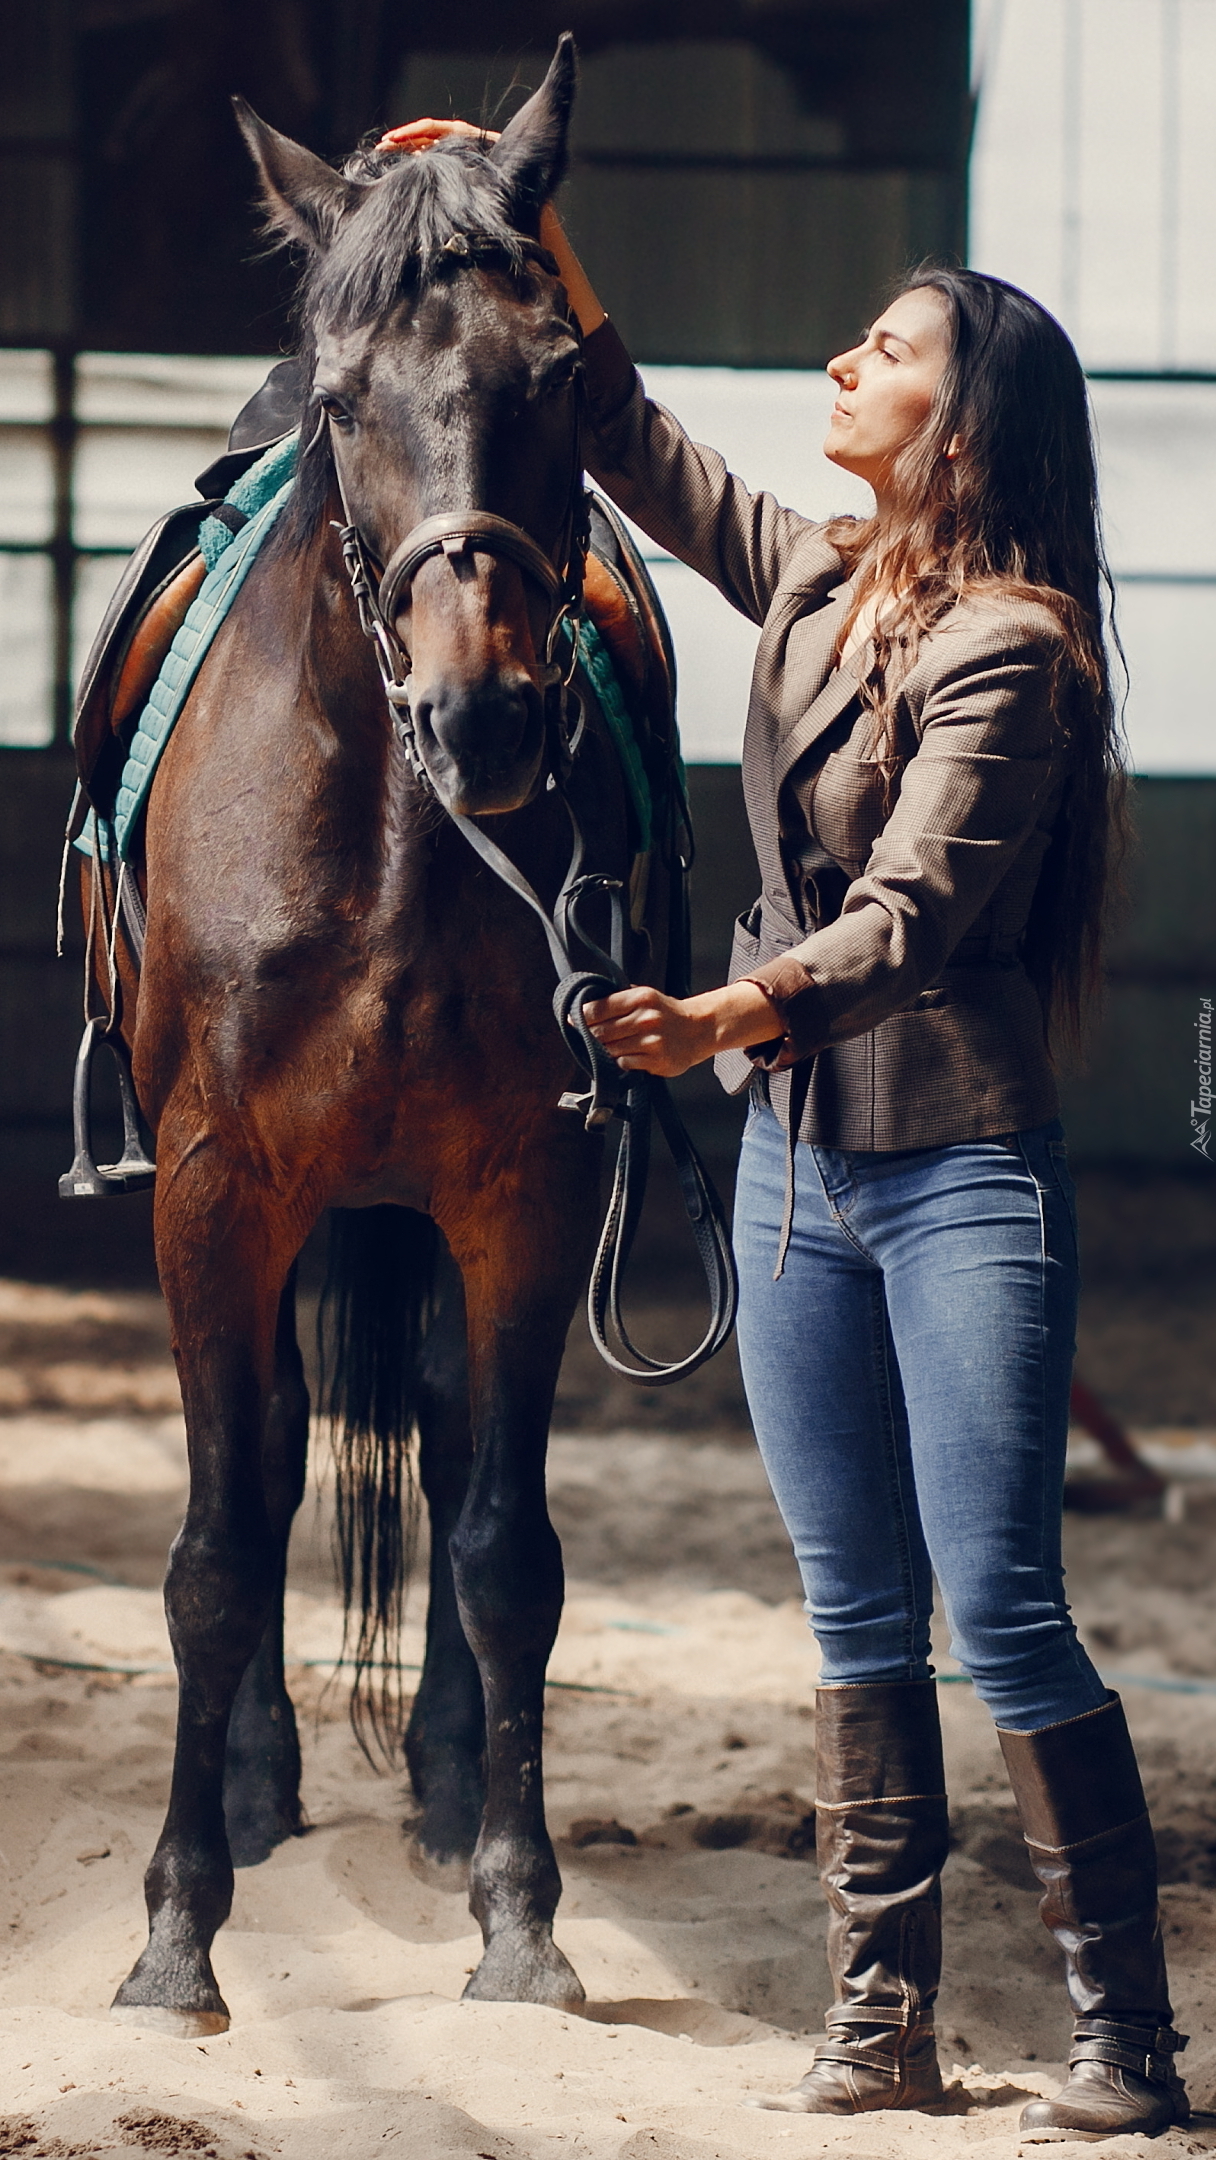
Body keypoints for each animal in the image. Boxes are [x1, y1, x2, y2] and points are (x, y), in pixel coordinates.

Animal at [92, 42, 695, 2030]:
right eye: (353, 404)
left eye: (563, 380)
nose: (482, 713)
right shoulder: (212, 1190)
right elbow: (218, 1546)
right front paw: (176, 1932)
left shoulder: (522, 1193)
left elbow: (505, 1546)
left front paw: (521, 1914)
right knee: (279, 1452)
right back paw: (263, 1786)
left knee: (434, 1441)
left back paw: (433, 1786)